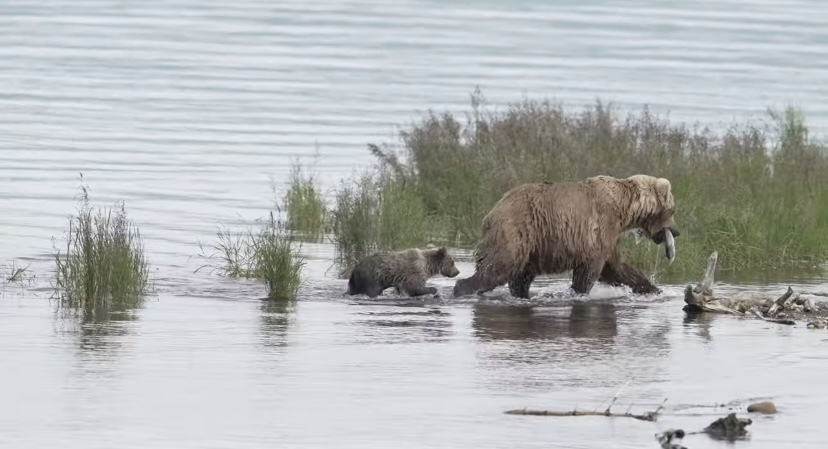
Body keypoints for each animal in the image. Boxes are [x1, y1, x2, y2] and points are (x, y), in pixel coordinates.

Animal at [452, 174, 680, 298]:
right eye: (672, 210)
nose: (676, 232)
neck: (625, 208)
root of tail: (491, 213)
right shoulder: (601, 227)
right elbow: (591, 272)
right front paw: (580, 291)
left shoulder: (611, 236)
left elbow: (618, 268)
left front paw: (653, 289)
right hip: (516, 232)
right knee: (498, 267)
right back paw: (462, 289)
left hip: (532, 246)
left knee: (520, 278)